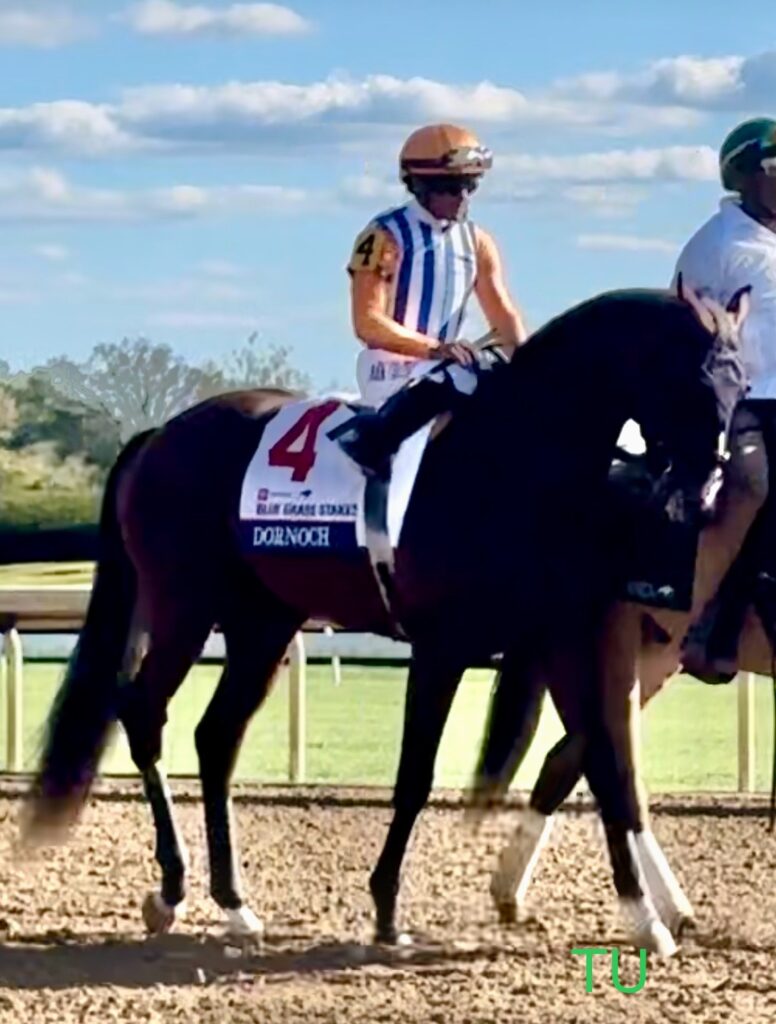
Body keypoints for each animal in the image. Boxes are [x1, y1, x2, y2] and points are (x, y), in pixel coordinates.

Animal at [21, 286, 745, 950]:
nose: (708, 491)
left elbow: (603, 764)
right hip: (184, 605)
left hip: (263, 624)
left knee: (216, 737)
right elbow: (416, 776)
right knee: (144, 712)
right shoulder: (442, 646)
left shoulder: (562, 640)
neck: (511, 463)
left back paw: (233, 903)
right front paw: (387, 909)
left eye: (741, 382)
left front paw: (648, 917)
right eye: (700, 378)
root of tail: (161, 435)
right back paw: (172, 889)